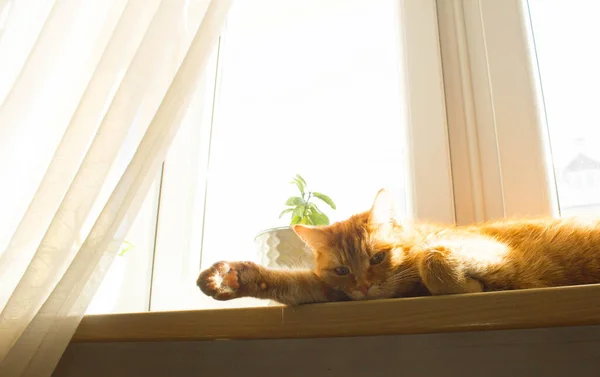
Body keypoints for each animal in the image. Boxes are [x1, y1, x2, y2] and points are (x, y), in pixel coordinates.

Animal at [196, 189, 600, 304]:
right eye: (342, 270)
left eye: (377, 257)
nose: (363, 286)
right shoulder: (331, 292)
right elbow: (291, 283)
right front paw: (233, 277)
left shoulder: (499, 255)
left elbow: (435, 262)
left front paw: (467, 286)